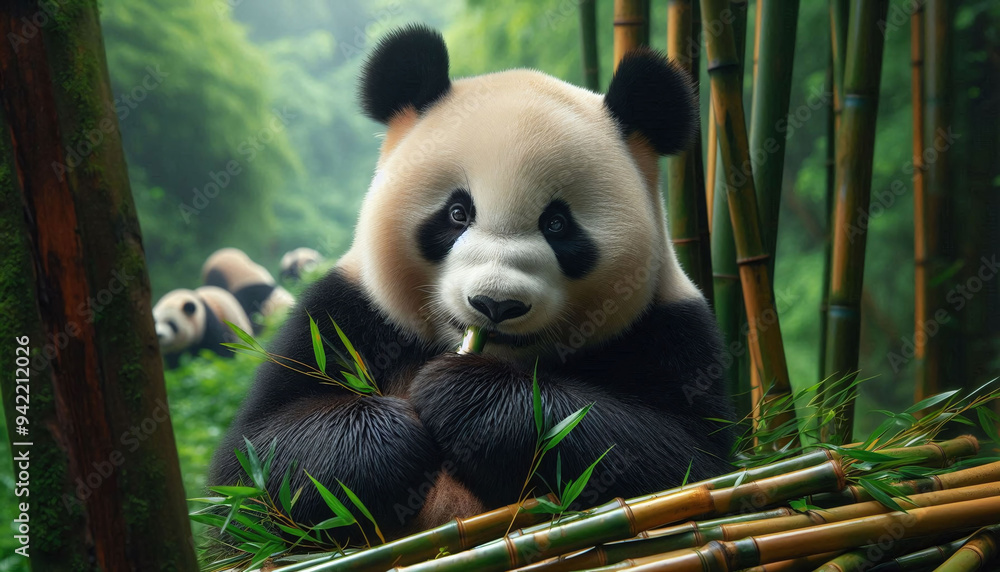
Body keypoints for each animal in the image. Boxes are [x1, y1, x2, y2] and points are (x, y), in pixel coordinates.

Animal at [210, 25, 733, 539]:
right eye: (458, 213)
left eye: (557, 224)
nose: (496, 304)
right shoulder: (344, 314)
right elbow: (256, 467)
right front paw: (395, 434)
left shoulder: (669, 329)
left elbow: (680, 458)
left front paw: (470, 398)